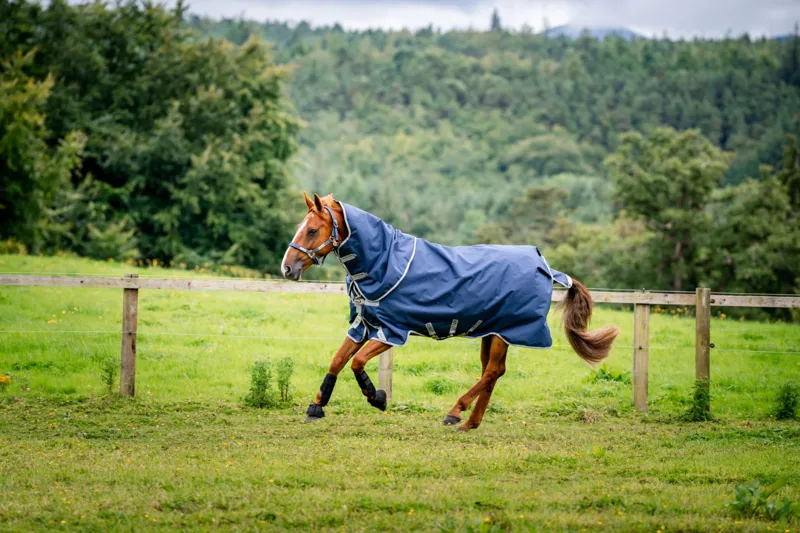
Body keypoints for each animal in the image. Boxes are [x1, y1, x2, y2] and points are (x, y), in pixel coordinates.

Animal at [281, 193, 619, 431]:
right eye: (300, 228)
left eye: (312, 230)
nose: (287, 268)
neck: (384, 263)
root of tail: (545, 266)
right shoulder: (364, 325)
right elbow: (338, 360)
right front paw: (316, 407)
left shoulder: (392, 331)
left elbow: (357, 363)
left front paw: (377, 397)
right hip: (492, 331)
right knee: (492, 372)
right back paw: (470, 423)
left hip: (504, 332)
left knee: (492, 371)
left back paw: (455, 413)